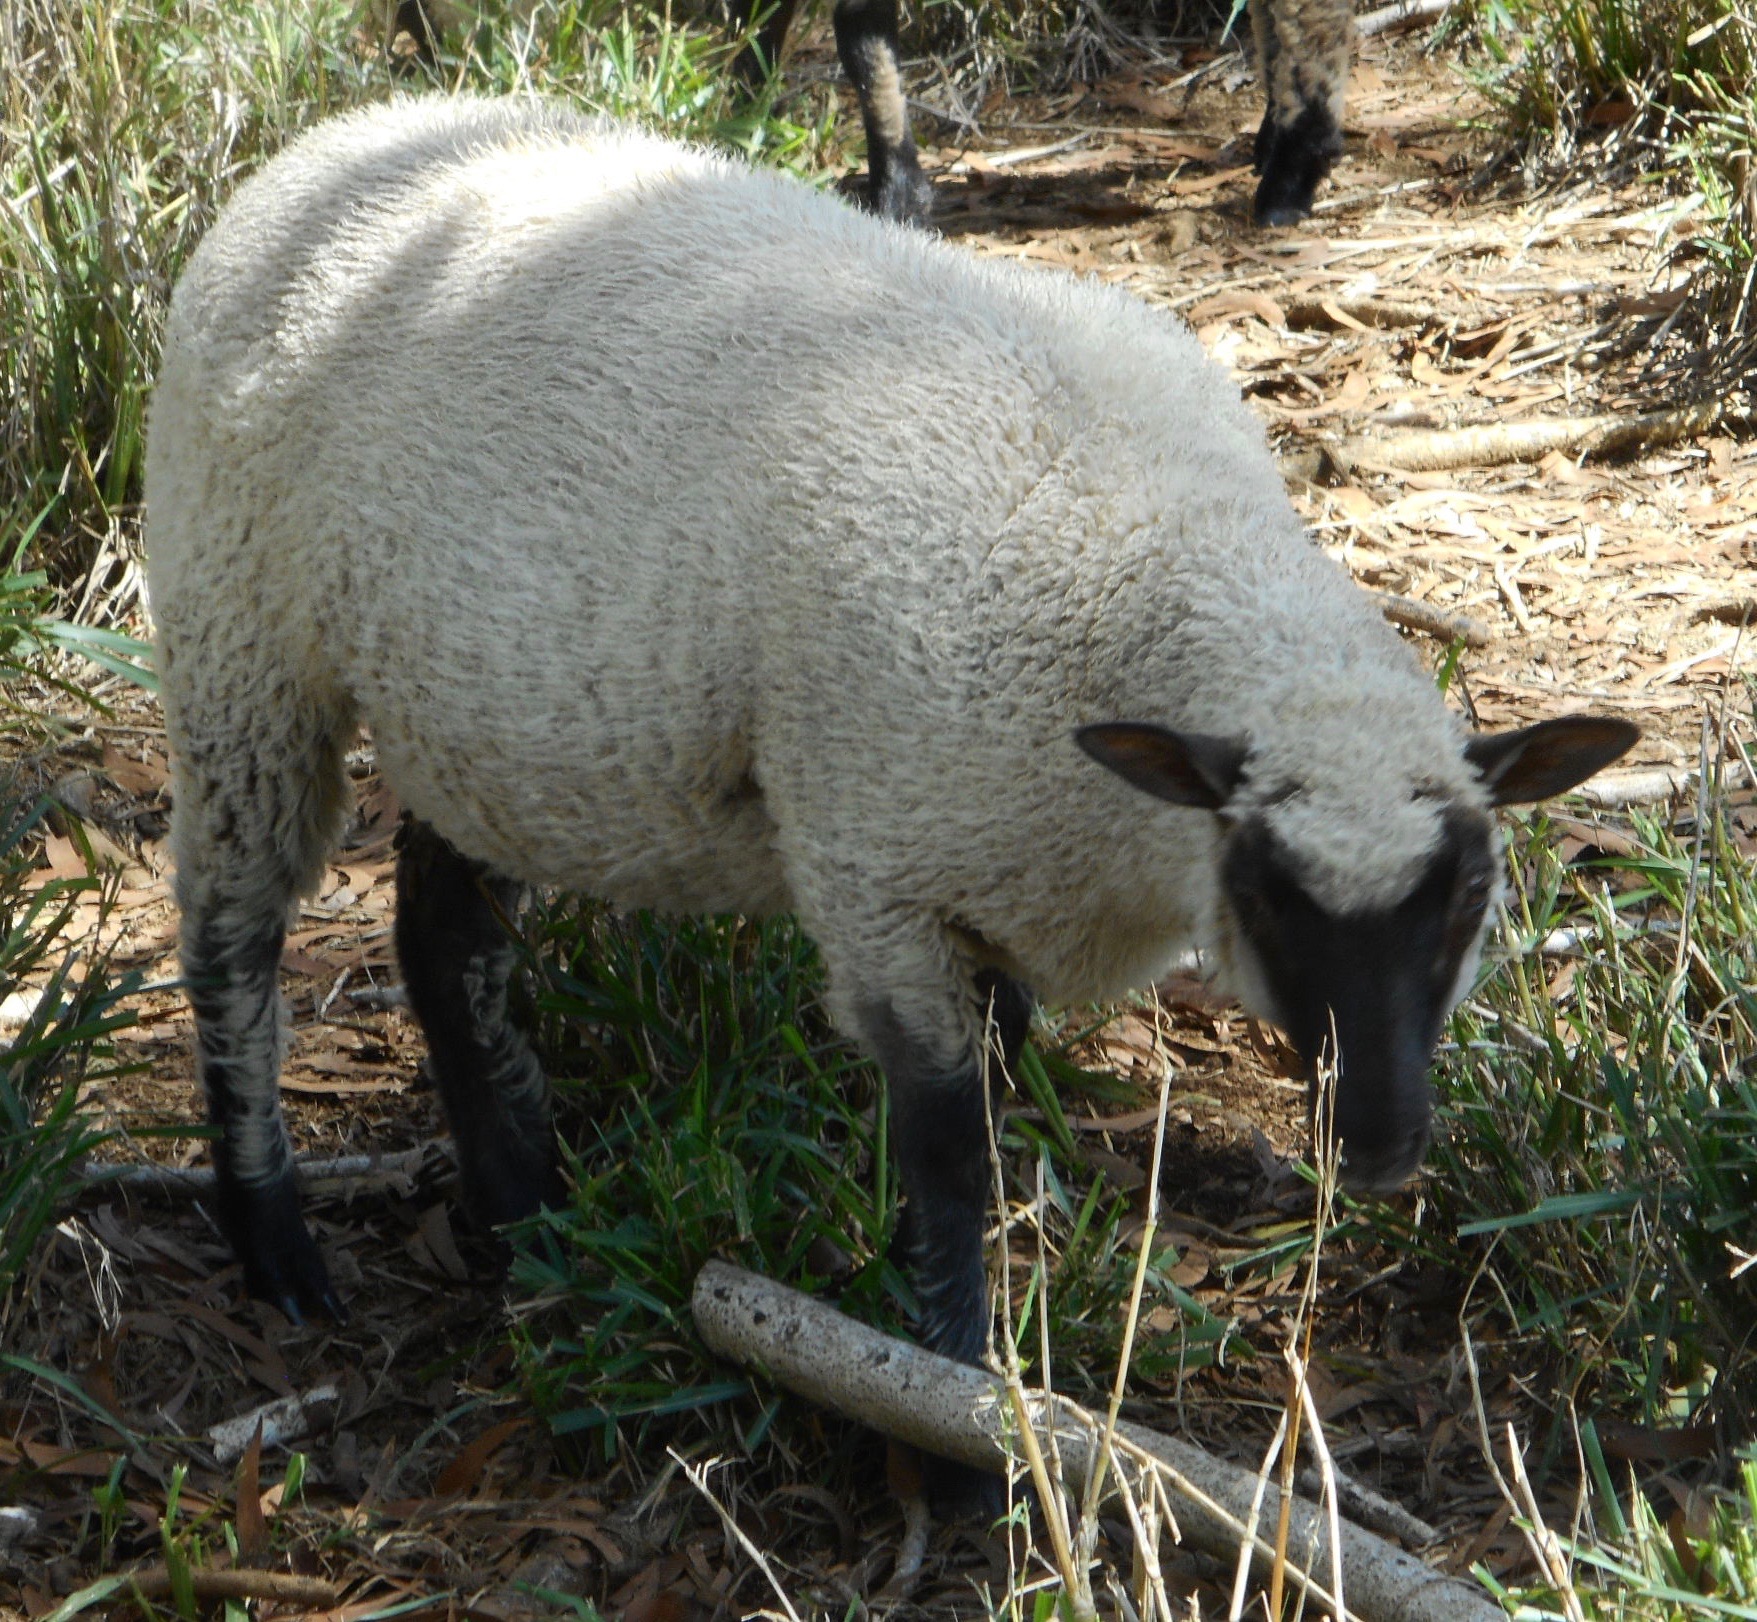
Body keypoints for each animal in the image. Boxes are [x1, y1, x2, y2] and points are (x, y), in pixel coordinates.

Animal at [147, 95, 1630, 1391]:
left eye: (1471, 894)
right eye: (1264, 893)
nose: (1380, 1148)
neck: (1124, 555)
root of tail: (345, 137)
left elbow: (993, 1076)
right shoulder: (875, 872)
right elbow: (945, 1140)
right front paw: (956, 1389)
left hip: (487, 714)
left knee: (443, 935)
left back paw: (528, 1220)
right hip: (238, 638)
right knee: (230, 934)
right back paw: (276, 1240)